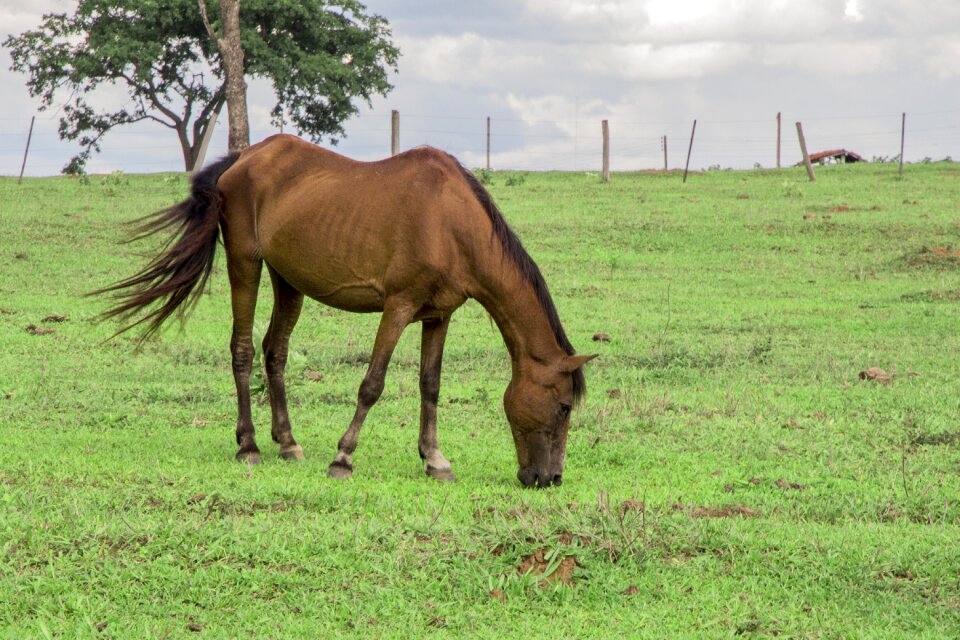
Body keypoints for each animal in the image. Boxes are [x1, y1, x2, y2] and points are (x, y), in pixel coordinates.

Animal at [97, 134, 592, 484]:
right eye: (564, 406)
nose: (549, 479)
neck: (450, 223)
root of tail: (241, 158)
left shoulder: (438, 315)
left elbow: (430, 386)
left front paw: (434, 459)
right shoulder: (398, 307)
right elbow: (372, 384)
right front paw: (343, 457)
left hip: (288, 280)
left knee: (275, 352)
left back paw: (288, 443)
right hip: (245, 262)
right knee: (242, 350)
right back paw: (249, 445)